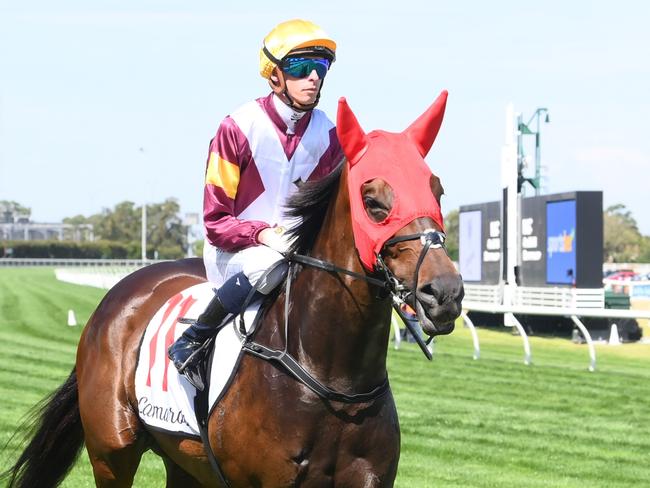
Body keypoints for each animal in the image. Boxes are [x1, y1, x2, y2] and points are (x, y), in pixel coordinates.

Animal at [3, 92, 460, 488]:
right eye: (373, 201)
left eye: (437, 190)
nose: (445, 293)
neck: (333, 376)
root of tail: (116, 297)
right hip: (111, 453)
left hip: (184, 461)